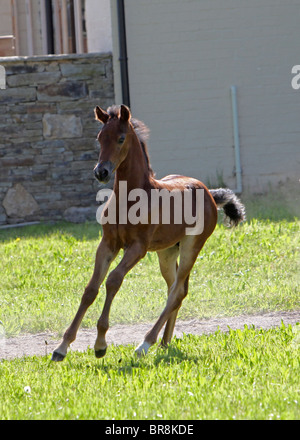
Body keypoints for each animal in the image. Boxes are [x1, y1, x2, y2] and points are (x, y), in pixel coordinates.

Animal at [51, 104, 244, 360]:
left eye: (121, 138)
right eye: (99, 138)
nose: (101, 172)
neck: (130, 199)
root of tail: (209, 193)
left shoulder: (138, 248)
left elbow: (113, 280)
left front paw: (100, 344)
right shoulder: (107, 244)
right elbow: (91, 289)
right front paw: (61, 347)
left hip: (192, 246)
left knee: (176, 292)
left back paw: (145, 344)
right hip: (167, 252)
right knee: (176, 289)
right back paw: (164, 341)